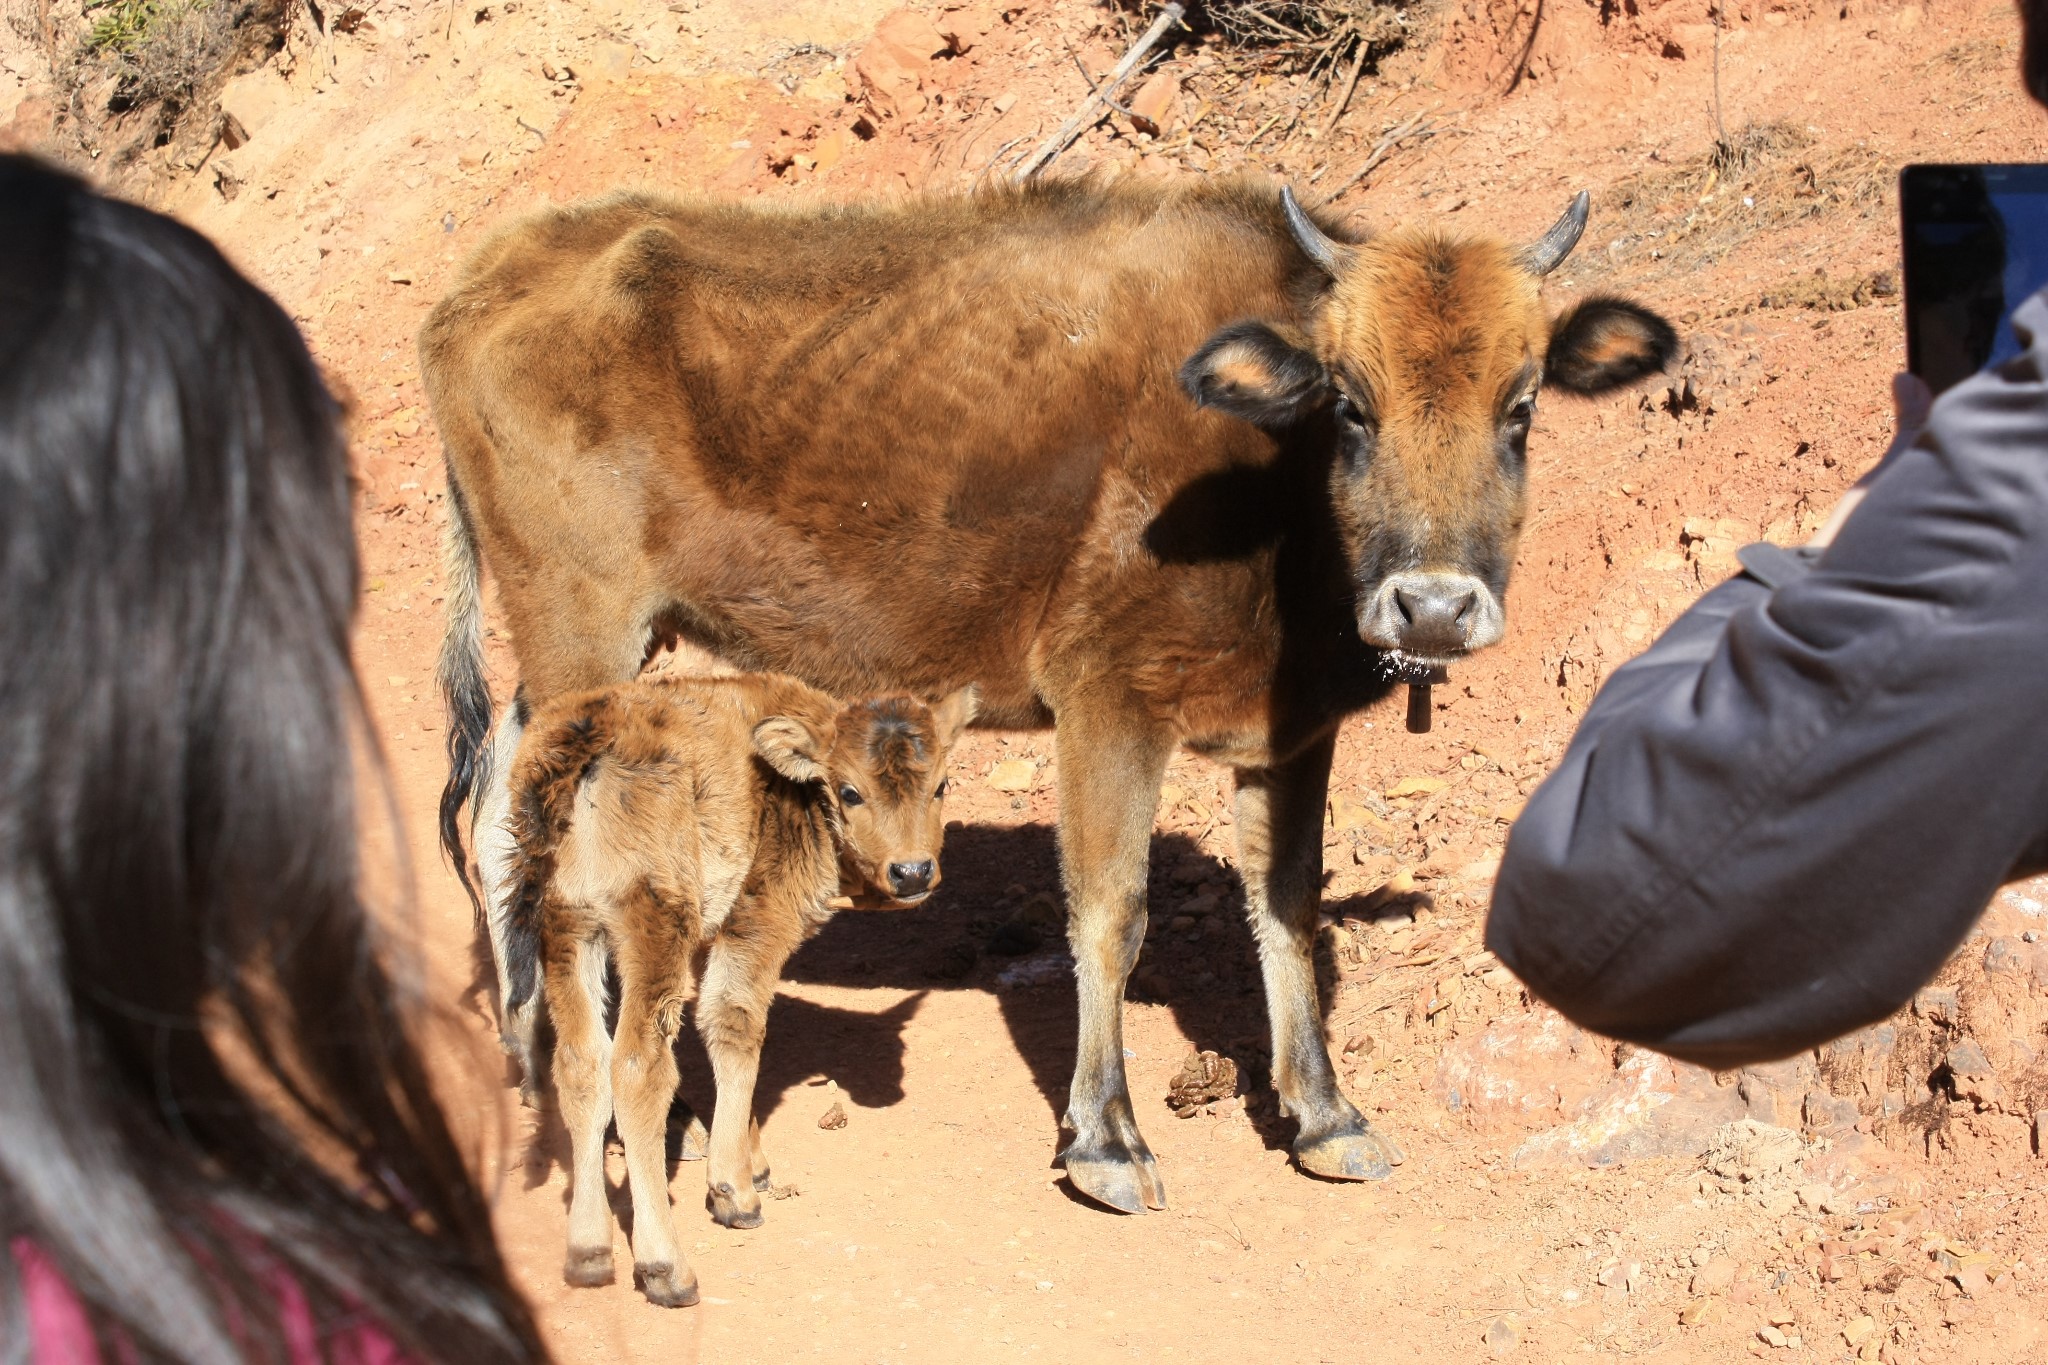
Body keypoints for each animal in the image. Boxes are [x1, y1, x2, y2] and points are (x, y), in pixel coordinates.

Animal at [423, 173, 1671, 1219]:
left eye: (1520, 405)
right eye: (1350, 406)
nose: (1432, 608)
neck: (1262, 480)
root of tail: (482, 281)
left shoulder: (1288, 732)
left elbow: (1286, 907)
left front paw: (1325, 1117)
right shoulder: (1107, 702)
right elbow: (1110, 914)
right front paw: (1106, 1143)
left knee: (500, 810)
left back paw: (534, 1052)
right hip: (582, 632)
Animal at [499, 679, 970, 1309]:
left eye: (940, 784)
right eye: (850, 792)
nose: (913, 872)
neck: (796, 785)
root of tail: (586, 736)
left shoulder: (712, 934)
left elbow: (718, 1031)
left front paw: (756, 1164)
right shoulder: (757, 923)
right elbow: (737, 1027)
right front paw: (735, 1192)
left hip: (569, 928)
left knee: (580, 1065)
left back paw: (588, 1252)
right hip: (651, 929)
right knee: (637, 1069)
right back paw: (666, 1269)